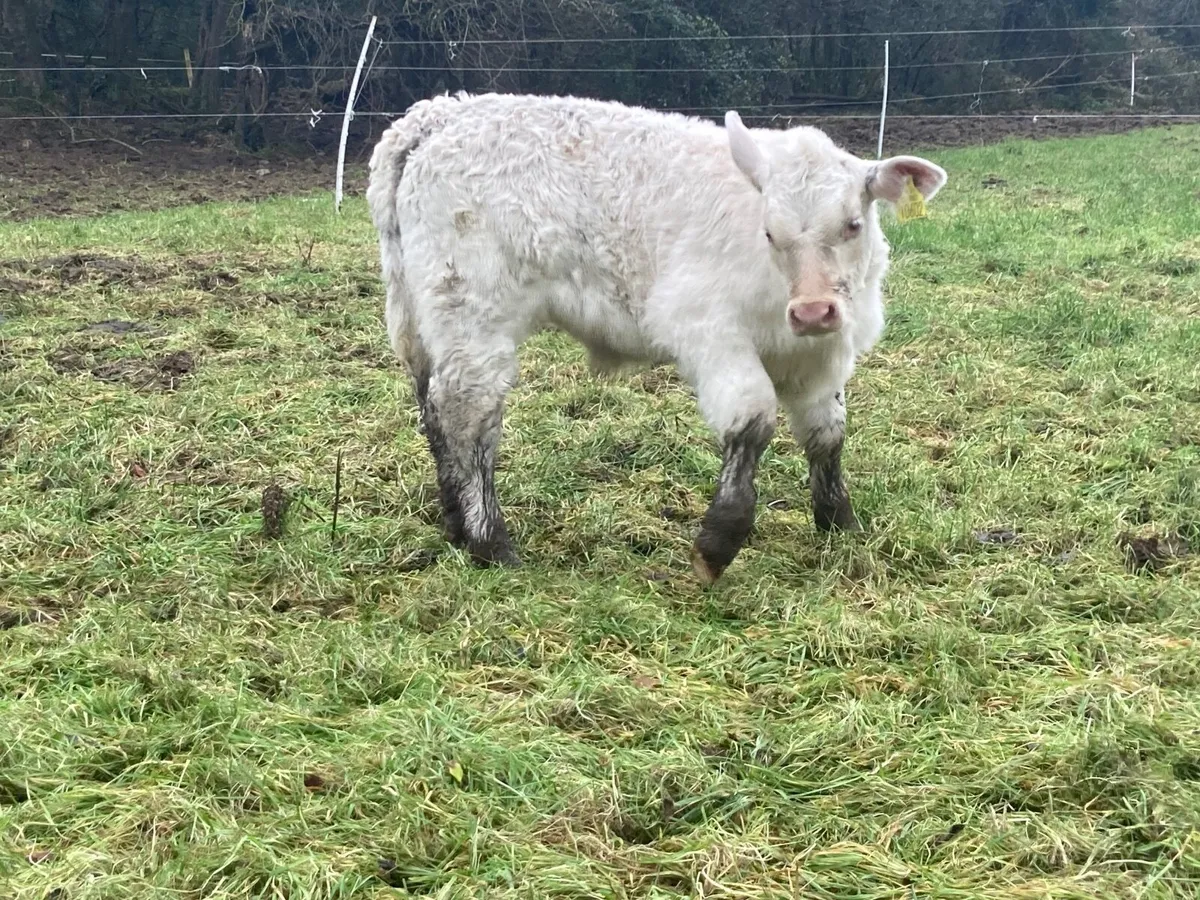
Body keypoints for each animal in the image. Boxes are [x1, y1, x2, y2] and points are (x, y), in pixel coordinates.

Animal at [366, 91, 947, 583]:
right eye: (770, 232)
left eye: (852, 224)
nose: (812, 311)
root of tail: (439, 115)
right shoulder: (708, 330)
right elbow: (753, 420)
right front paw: (719, 541)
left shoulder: (825, 355)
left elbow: (828, 434)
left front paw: (838, 522)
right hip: (472, 307)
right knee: (468, 414)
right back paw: (490, 542)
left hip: (427, 316)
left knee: (433, 409)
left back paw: (456, 524)